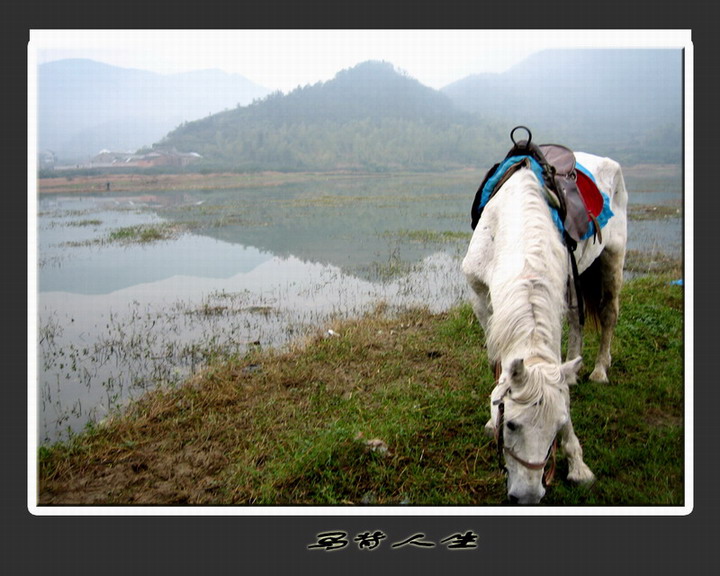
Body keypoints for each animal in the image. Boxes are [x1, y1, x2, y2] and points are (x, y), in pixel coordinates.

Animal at [464, 151, 628, 502]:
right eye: (510, 424)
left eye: (557, 426)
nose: (527, 496)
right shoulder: (480, 296)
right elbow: (495, 361)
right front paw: (489, 420)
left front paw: (578, 464)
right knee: (578, 319)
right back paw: (577, 370)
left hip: (612, 257)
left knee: (608, 315)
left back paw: (599, 370)